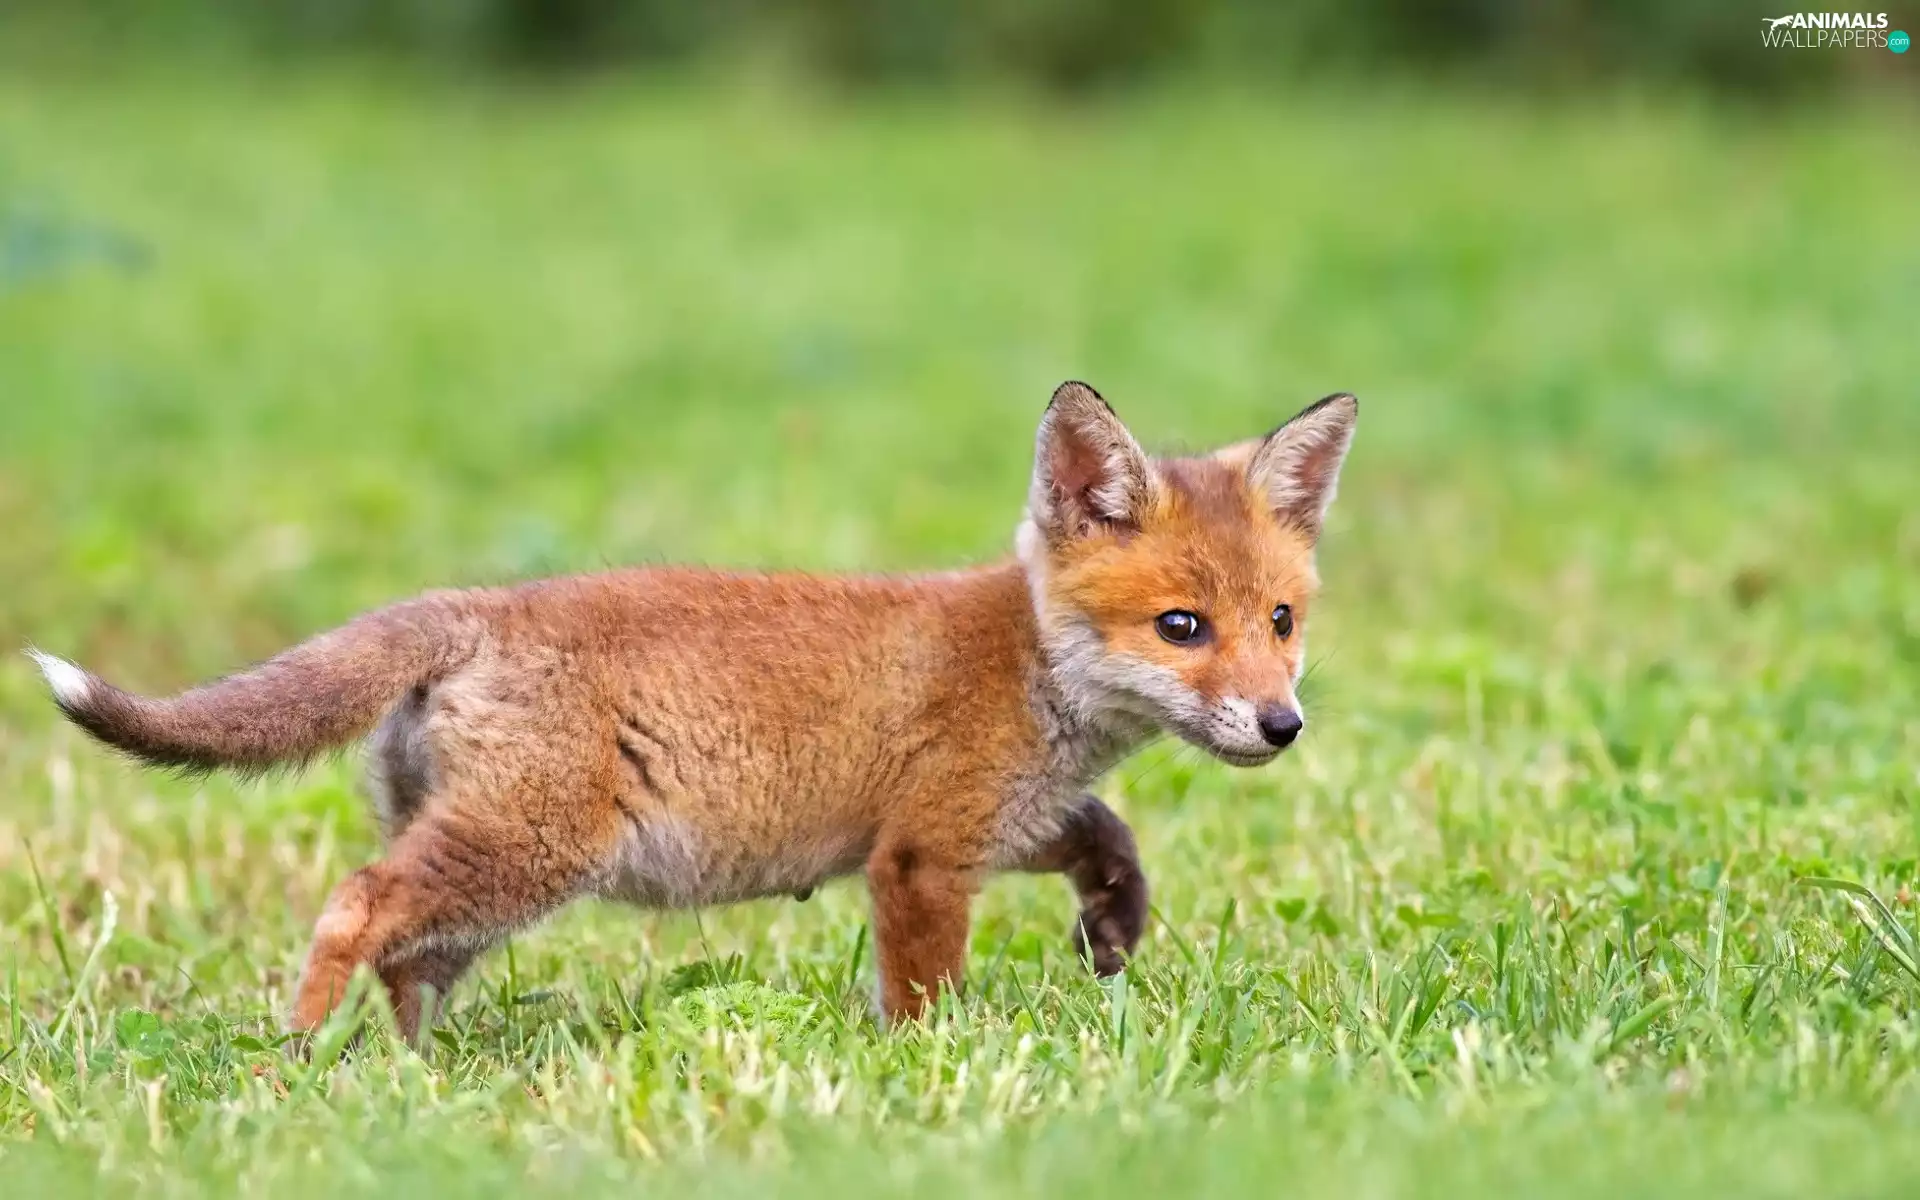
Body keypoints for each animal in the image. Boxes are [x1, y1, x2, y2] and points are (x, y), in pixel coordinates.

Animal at [29, 381, 1356, 1040]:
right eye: (1182, 629)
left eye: (1281, 621)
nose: (1280, 726)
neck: (1025, 662)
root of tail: (476, 605)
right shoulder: (922, 855)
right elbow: (923, 995)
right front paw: (929, 1078)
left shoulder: (1000, 821)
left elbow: (1108, 839)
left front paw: (1112, 934)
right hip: (524, 851)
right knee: (356, 907)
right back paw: (301, 1058)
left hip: (490, 876)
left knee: (408, 960)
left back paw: (417, 1084)